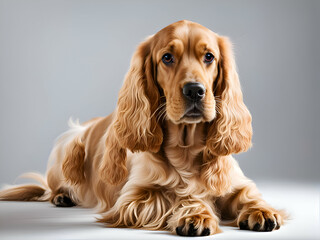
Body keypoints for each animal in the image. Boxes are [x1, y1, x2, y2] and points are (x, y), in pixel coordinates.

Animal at [0, 20, 286, 236]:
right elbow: (179, 195)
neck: (187, 148)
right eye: (167, 57)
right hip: (69, 141)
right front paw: (196, 212)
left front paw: (261, 210)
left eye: (209, 57)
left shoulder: (235, 182)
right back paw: (62, 196)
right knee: (53, 187)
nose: (195, 91)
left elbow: (248, 194)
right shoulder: (135, 199)